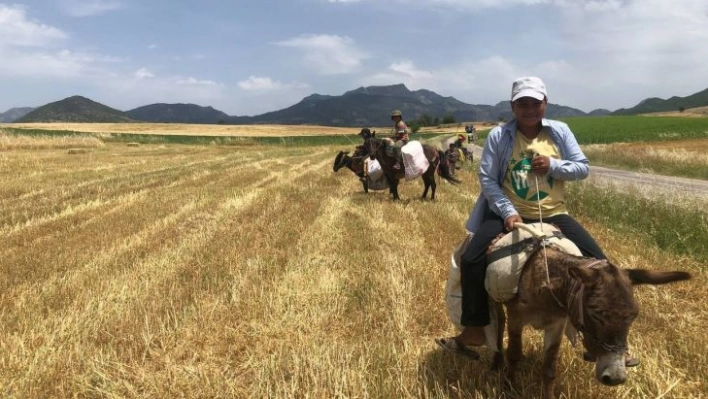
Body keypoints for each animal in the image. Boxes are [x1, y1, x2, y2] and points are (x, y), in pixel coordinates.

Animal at [492, 245, 692, 398]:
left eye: (634, 316)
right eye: (595, 313)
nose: (616, 377)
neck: (546, 284)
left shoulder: (556, 325)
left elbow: (549, 369)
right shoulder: (516, 318)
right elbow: (514, 354)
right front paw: (508, 389)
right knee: (498, 323)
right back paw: (496, 362)